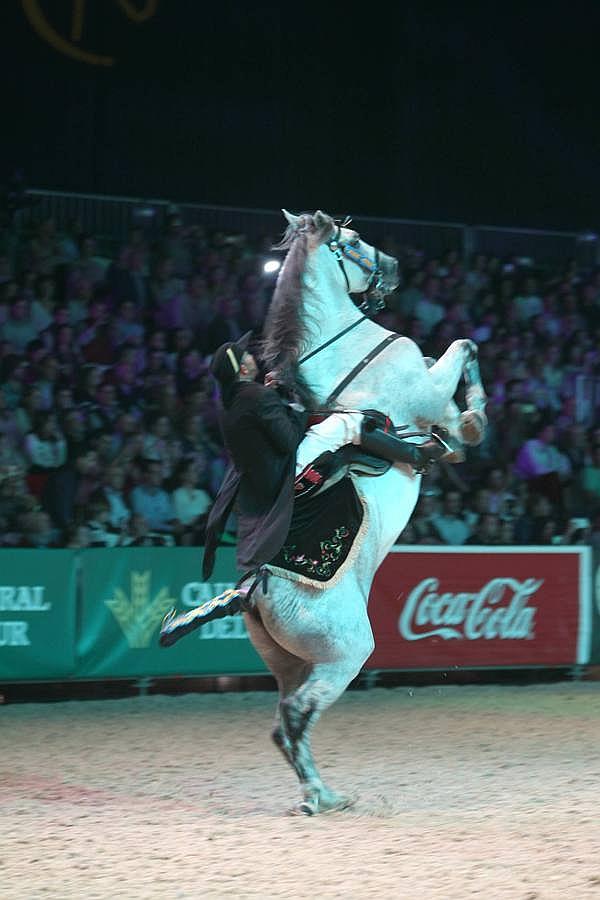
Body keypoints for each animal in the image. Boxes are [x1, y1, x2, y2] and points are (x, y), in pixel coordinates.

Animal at [241, 213, 486, 816]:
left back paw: (322, 791)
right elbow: (461, 349)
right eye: (351, 241)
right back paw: (321, 798)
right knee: (295, 717)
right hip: (342, 656)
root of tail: (256, 588)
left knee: (284, 724)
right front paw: (471, 424)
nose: (394, 268)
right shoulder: (426, 387)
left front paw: (454, 438)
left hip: (291, 663)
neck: (343, 347)